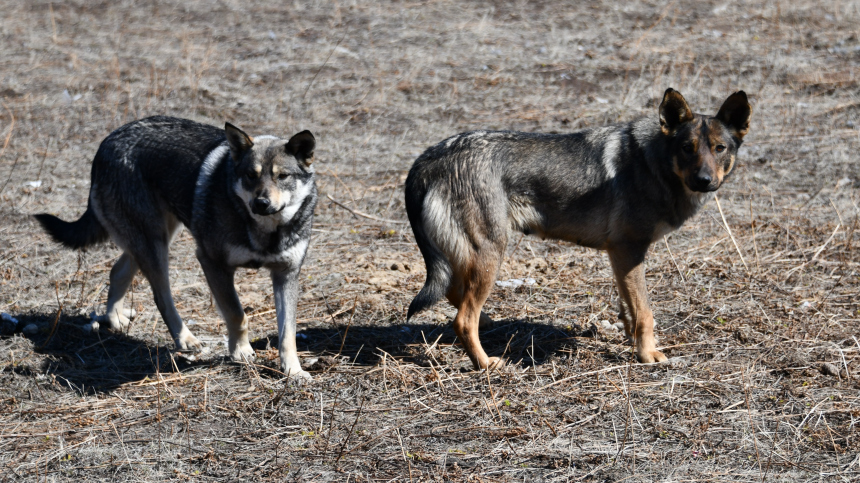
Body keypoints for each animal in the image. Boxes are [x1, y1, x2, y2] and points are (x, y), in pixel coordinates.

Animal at [406, 88, 748, 370]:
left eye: (719, 148)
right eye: (688, 148)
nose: (704, 180)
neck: (654, 164)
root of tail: (427, 158)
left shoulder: (620, 257)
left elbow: (630, 309)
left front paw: (632, 342)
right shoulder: (629, 250)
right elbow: (645, 312)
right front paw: (648, 355)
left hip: (470, 258)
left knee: (455, 296)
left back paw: (489, 324)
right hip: (490, 254)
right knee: (463, 319)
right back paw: (486, 362)